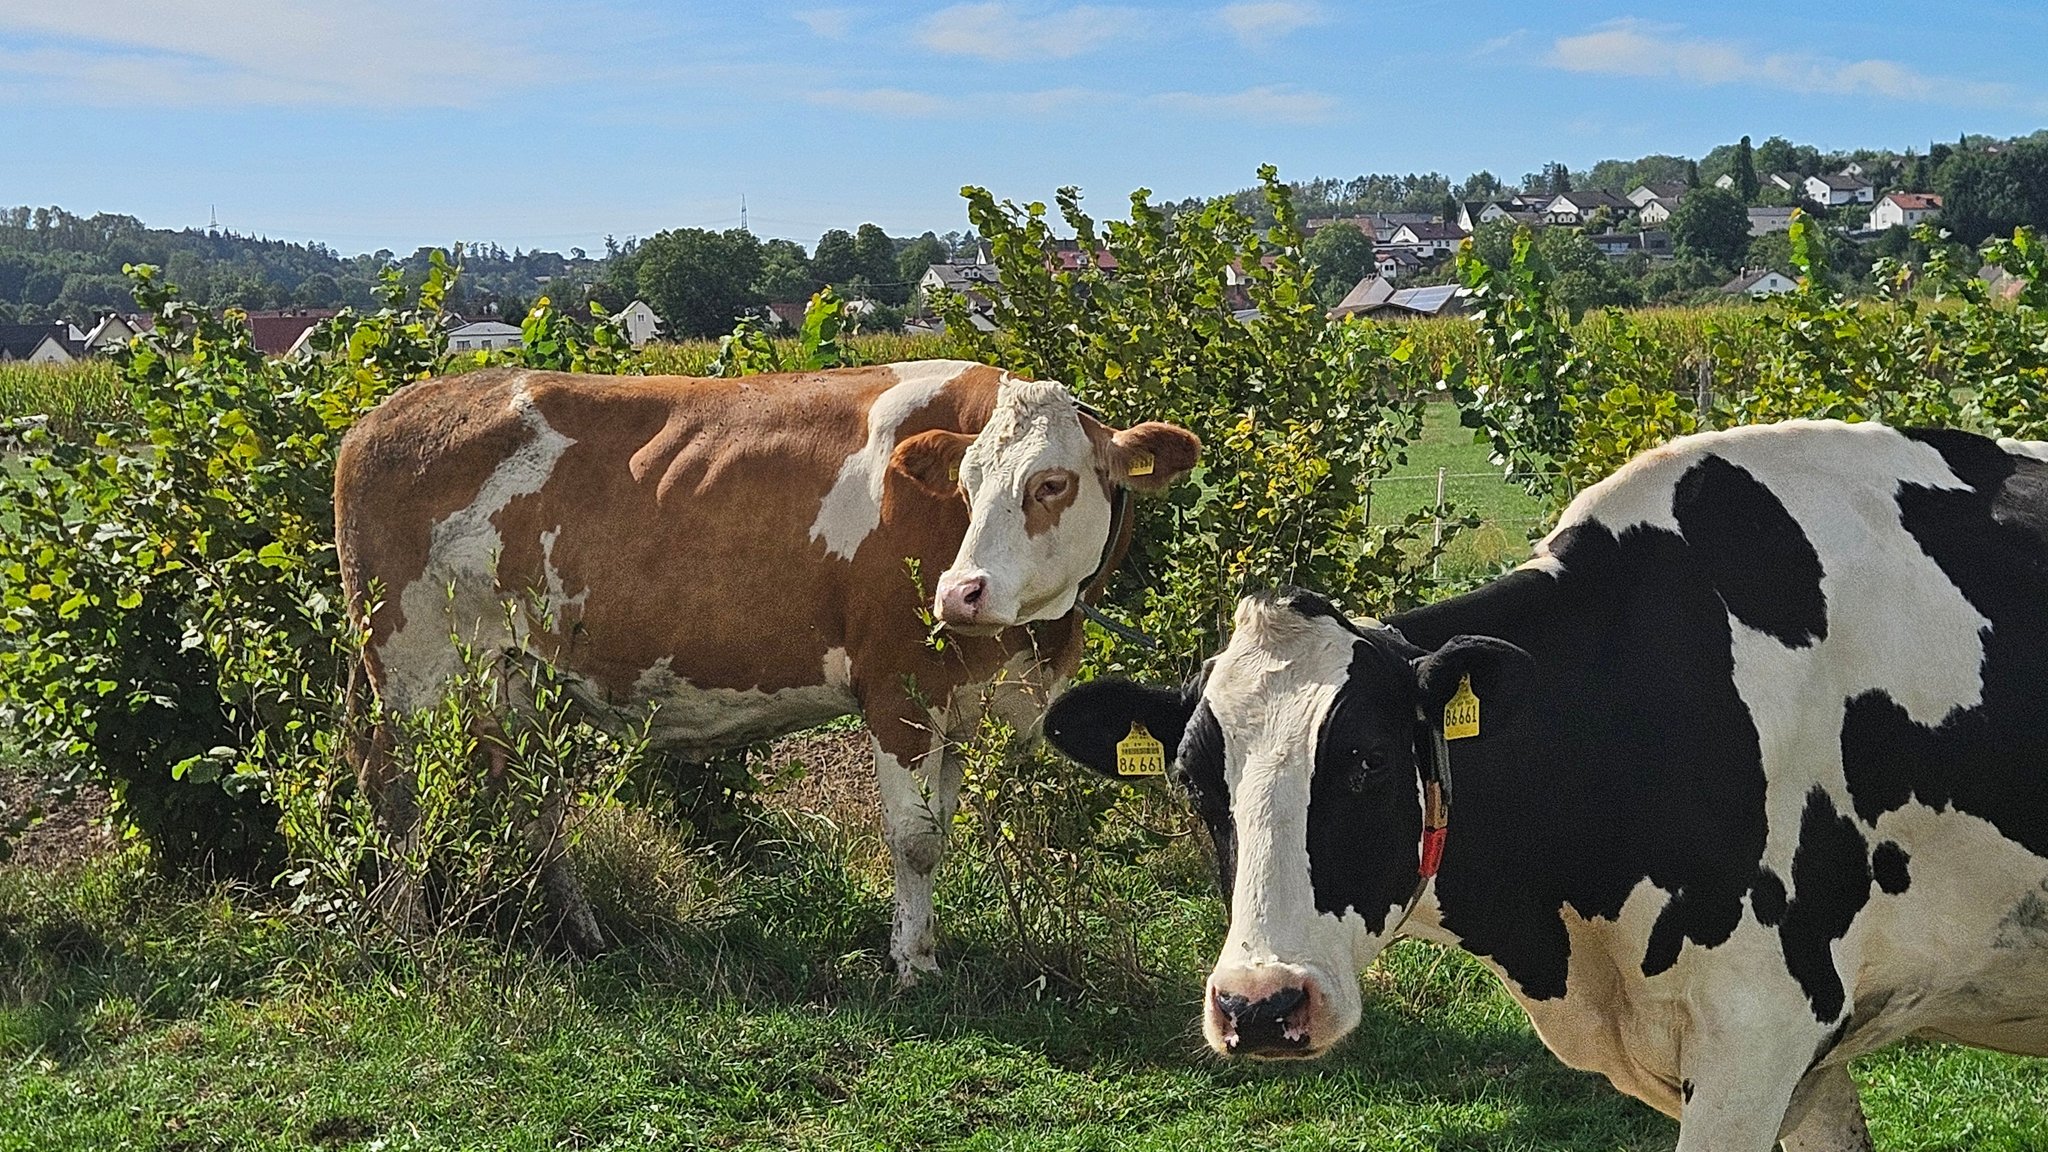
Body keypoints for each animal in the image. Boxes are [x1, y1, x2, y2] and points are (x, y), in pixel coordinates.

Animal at [334, 360, 1198, 979]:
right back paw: (409, 933)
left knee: (534, 803)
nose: (961, 592)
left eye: (1052, 482)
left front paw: (921, 946)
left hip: (516, 675)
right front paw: (911, 966)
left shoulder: (959, 701)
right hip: (406, 664)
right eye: (967, 483)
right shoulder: (899, 689)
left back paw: (584, 932)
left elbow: (941, 832)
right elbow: (915, 838)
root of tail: (384, 415)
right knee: (395, 791)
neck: (1028, 644)